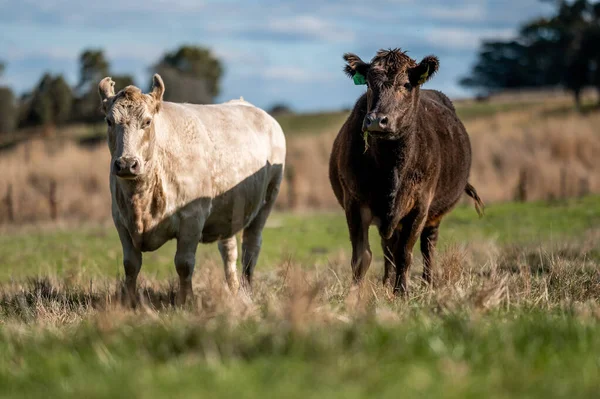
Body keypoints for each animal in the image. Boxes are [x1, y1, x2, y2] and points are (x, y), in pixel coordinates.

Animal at [328, 48, 482, 296]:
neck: (391, 167)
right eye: (368, 83)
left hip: (433, 215)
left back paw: (427, 284)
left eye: (406, 84)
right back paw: (386, 283)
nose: (376, 121)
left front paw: (402, 292)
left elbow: (405, 254)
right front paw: (355, 294)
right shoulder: (354, 202)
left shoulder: (420, 205)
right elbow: (362, 256)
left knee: (428, 246)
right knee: (389, 247)